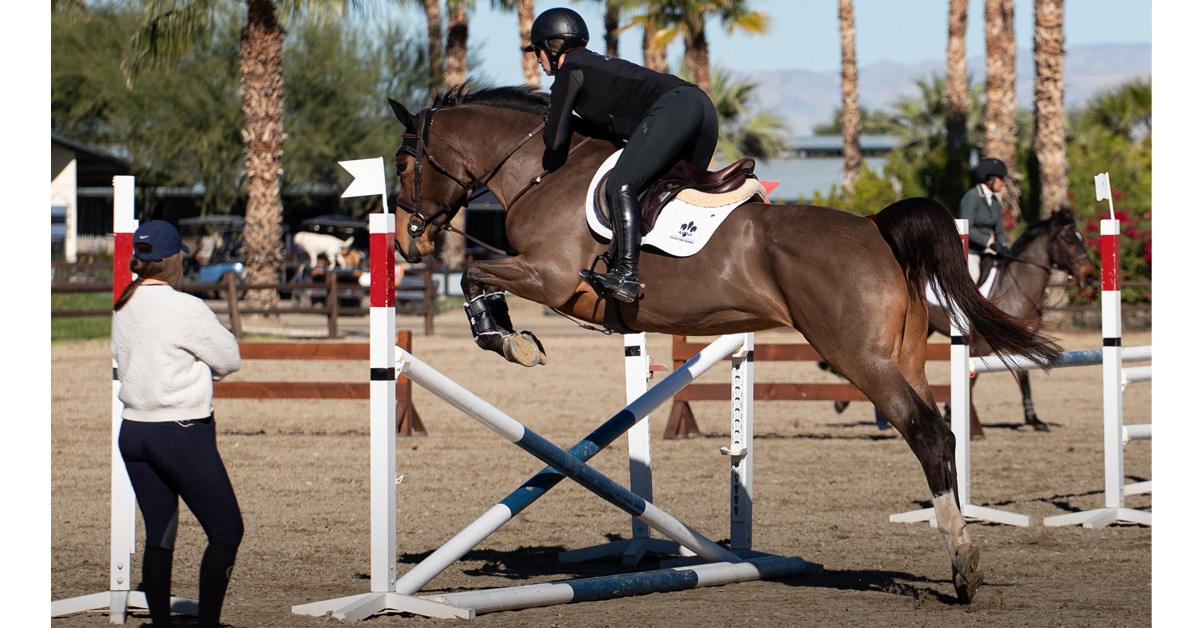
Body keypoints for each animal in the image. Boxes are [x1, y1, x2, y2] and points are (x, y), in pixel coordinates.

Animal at [387, 85, 1062, 604]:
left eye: (401, 164)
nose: (406, 244)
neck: (539, 170)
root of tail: (875, 227)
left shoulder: (549, 277)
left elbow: (476, 273)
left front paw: (503, 337)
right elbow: (479, 275)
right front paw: (505, 333)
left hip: (862, 358)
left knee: (925, 433)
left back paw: (963, 563)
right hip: (904, 357)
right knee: (942, 432)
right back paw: (960, 547)